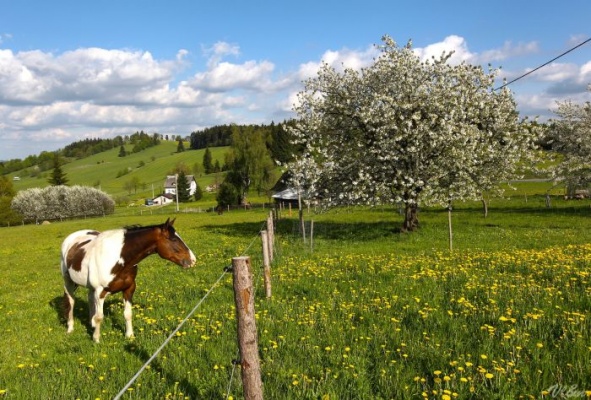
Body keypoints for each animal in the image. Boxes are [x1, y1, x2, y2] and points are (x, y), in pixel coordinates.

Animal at [61, 217, 198, 342]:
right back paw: (70, 328)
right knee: (71, 301)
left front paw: (129, 335)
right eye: (173, 239)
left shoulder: (129, 288)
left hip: (91, 287)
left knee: (90, 299)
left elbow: (127, 314)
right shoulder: (100, 292)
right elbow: (100, 316)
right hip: (68, 282)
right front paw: (96, 339)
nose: (192, 260)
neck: (118, 258)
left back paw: (91, 323)